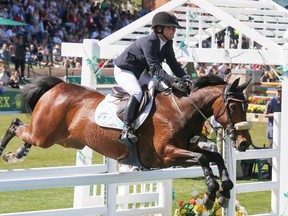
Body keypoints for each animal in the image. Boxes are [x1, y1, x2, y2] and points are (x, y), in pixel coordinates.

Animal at [0, 74, 252, 209]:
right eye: (232, 107)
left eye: (247, 104)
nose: (243, 143)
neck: (182, 109)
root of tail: (58, 85)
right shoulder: (165, 155)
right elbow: (202, 158)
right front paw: (210, 193)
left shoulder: (184, 150)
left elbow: (215, 156)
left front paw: (224, 190)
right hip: (46, 135)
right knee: (16, 124)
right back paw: (7, 152)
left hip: (65, 139)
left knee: (26, 132)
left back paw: (18, 153)